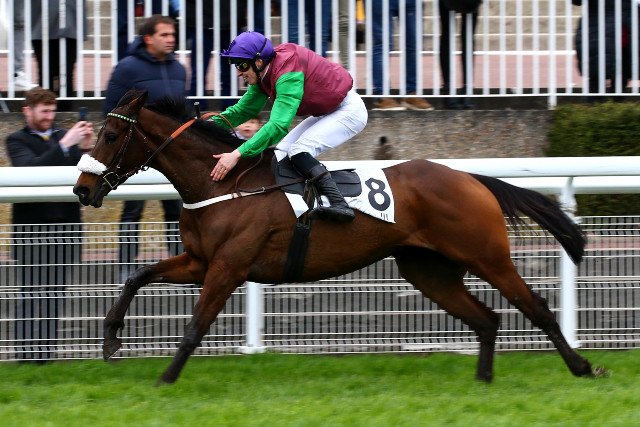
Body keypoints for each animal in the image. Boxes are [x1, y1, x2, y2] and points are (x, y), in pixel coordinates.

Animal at [73, 90, 600, 384]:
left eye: (110, 137)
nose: (81, 189)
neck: (223, 182)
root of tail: (471, 178)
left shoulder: (228, 267)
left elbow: (196, 326)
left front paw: (165, 378)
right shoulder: (200, 261)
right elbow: (137, 276)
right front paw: (110, 340)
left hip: (488, 255)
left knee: (535, 308)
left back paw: (583, 368)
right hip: (427, 270)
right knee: (487, 318)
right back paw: (485, 379)